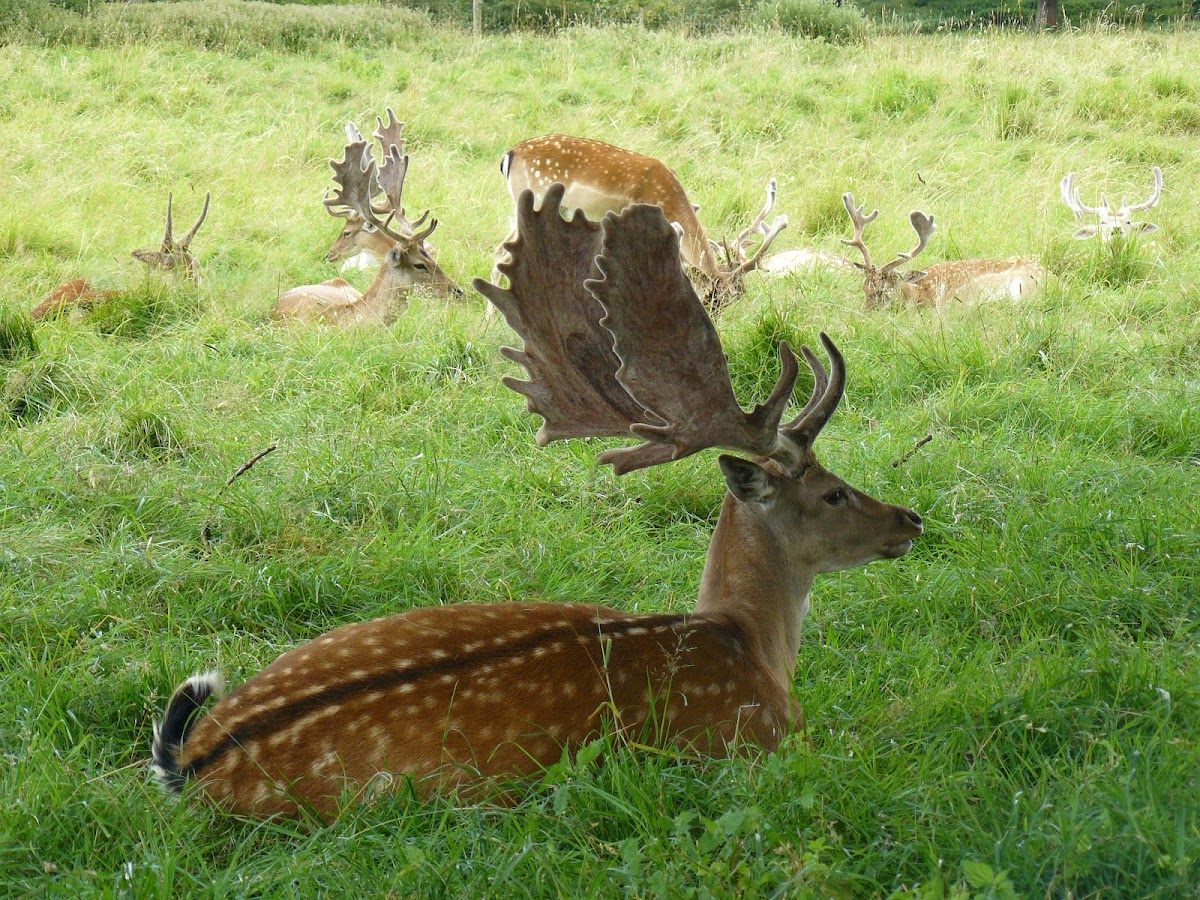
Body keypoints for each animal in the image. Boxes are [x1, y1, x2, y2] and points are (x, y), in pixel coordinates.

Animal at [489, 133, 787, 314]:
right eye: (720, 296)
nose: (715, 318)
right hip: (533, 199)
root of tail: (508, 156)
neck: (668, 198)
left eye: (740, 295)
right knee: (502, 250)